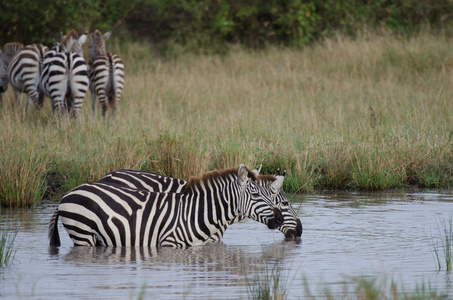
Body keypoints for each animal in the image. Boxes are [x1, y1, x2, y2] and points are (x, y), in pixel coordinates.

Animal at [48, 165, 282, 247]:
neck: (198, 213)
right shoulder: (170, 244)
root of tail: (66, 195)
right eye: (256, 194)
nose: (279, 218)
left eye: (271, 195)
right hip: (82, 233)